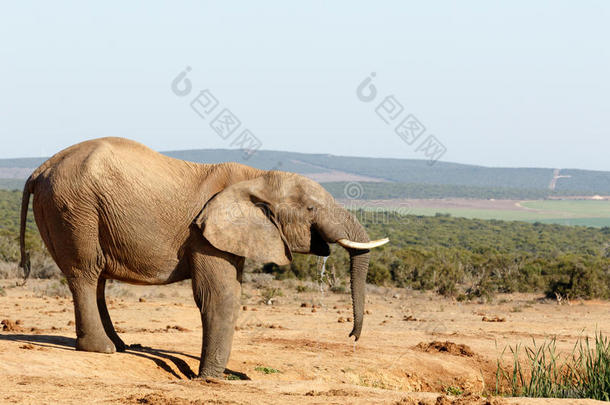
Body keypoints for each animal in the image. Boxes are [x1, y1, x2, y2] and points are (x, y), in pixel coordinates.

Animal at [20, 137, 390, 378]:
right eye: (311, 209)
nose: (352, 337)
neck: (255, 176)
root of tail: (39, 169)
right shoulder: (202, 233)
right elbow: (220, 295)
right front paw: (211, 379)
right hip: (74, 208)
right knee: (85, 272)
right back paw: (103, 349)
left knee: (96, 278)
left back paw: (122, 346)